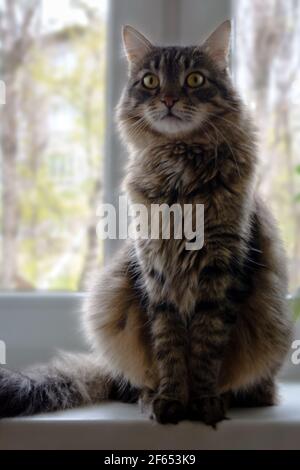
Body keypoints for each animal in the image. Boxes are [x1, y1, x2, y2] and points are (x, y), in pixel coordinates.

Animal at [0, 21, 292, 426]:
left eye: (194, 79)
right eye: (151, 81)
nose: (168, 99)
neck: (179, 171)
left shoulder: (222, 271)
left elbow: (206, 348)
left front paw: (204, 402)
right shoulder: (157, 274)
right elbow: (169, 348)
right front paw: (170, 401)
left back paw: (248, 394)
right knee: (130, 381)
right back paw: (145, 395)